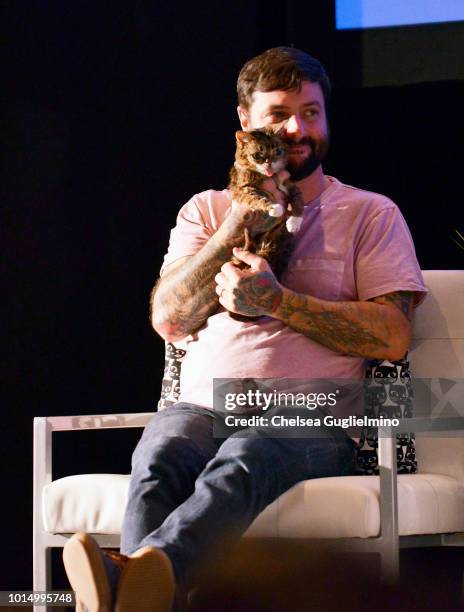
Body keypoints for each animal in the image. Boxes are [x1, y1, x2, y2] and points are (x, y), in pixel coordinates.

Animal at [227, 126, 304, 280]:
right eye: (257, 155)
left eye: (278, 151)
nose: (269, 162)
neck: (269, 176)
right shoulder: (242, 189)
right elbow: (258, 196)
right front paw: (274, 207)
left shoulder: (290, 185)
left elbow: (298, 200)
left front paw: (295, 221)